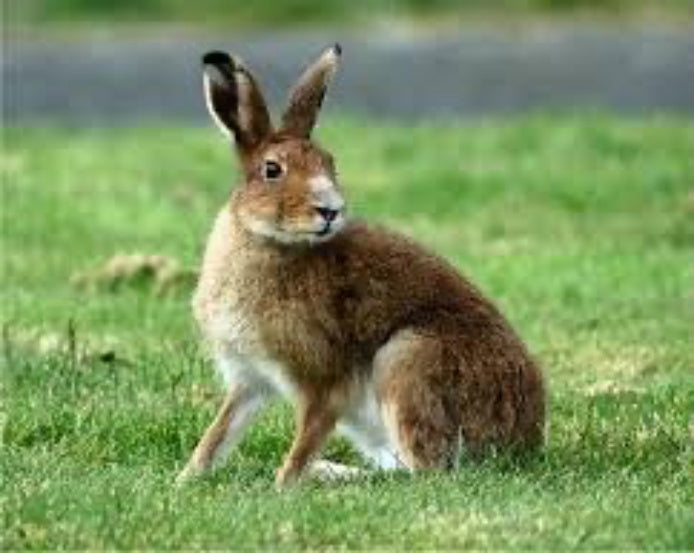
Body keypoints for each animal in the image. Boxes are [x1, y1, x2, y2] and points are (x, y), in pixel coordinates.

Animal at [176, 44, 545, 488]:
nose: (330, 209)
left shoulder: (322, 382)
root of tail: (527, 440)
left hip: (407, 360)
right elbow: (219, 434)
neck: (270, 242)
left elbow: (305, 439)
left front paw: (281, 487)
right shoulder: (250, 380)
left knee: (425, 472)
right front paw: (185, 479)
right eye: (272, 170)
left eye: (330, 164)